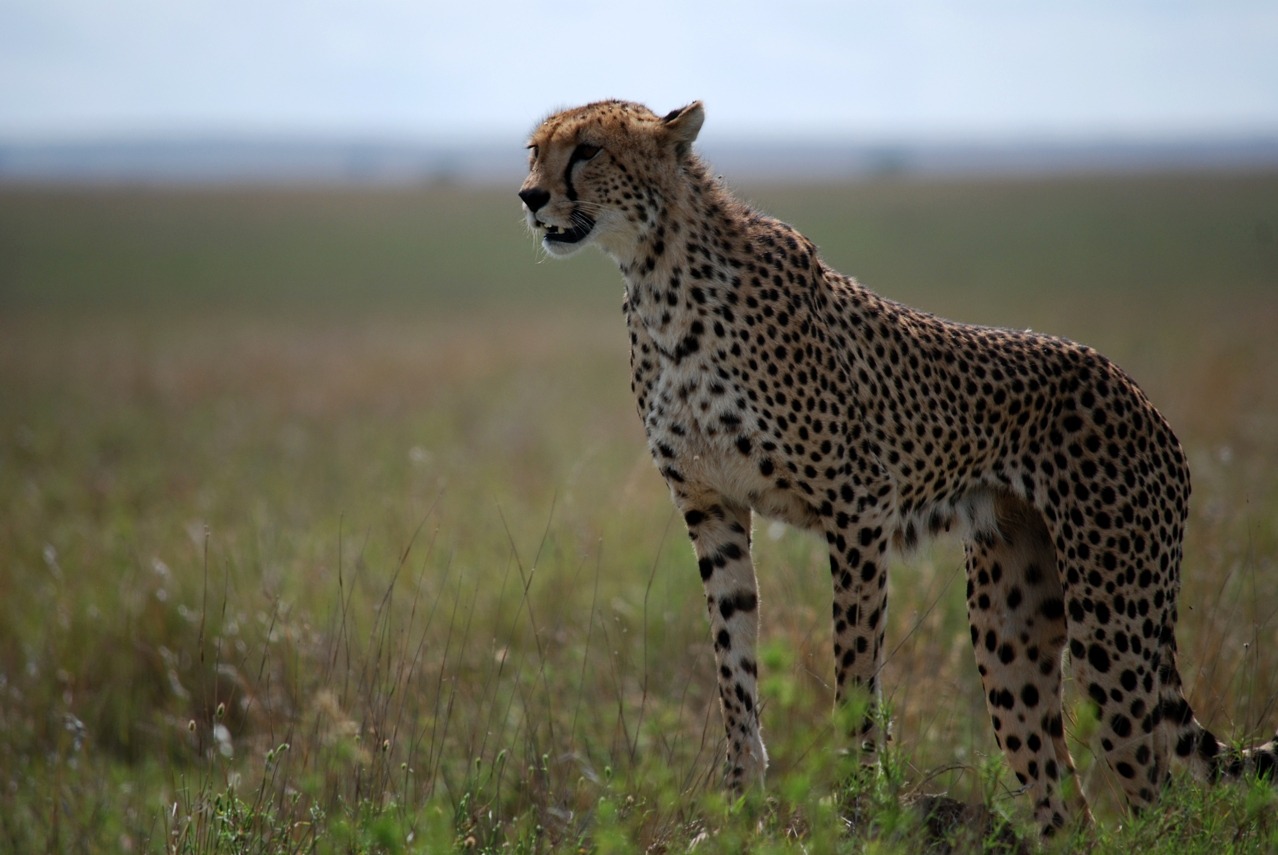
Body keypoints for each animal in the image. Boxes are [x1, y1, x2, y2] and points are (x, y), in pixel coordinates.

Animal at [518, 100, 1278, 833]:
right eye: (535, 150)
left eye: (588, 150)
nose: (529, 196)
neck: (660, 278)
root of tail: (1140, 394)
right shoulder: (712, 508)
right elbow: (734, 664)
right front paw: (737, 805)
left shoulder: (858, 506)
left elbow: (854, 674)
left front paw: (855, 805)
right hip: (1010, 632)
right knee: (1066, 800)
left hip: (1113, 621)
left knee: (1156, 790)